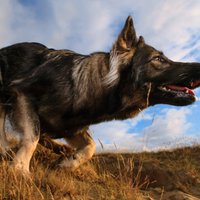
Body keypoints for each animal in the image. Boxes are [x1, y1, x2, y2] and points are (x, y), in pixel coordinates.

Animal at [0, 15, 200, 172]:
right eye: (158, 59)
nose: (198, 66)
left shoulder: (70, 127)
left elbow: (91, 146)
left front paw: (69, 162)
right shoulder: (23, 95)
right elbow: (32, 136)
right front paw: (20, 170)